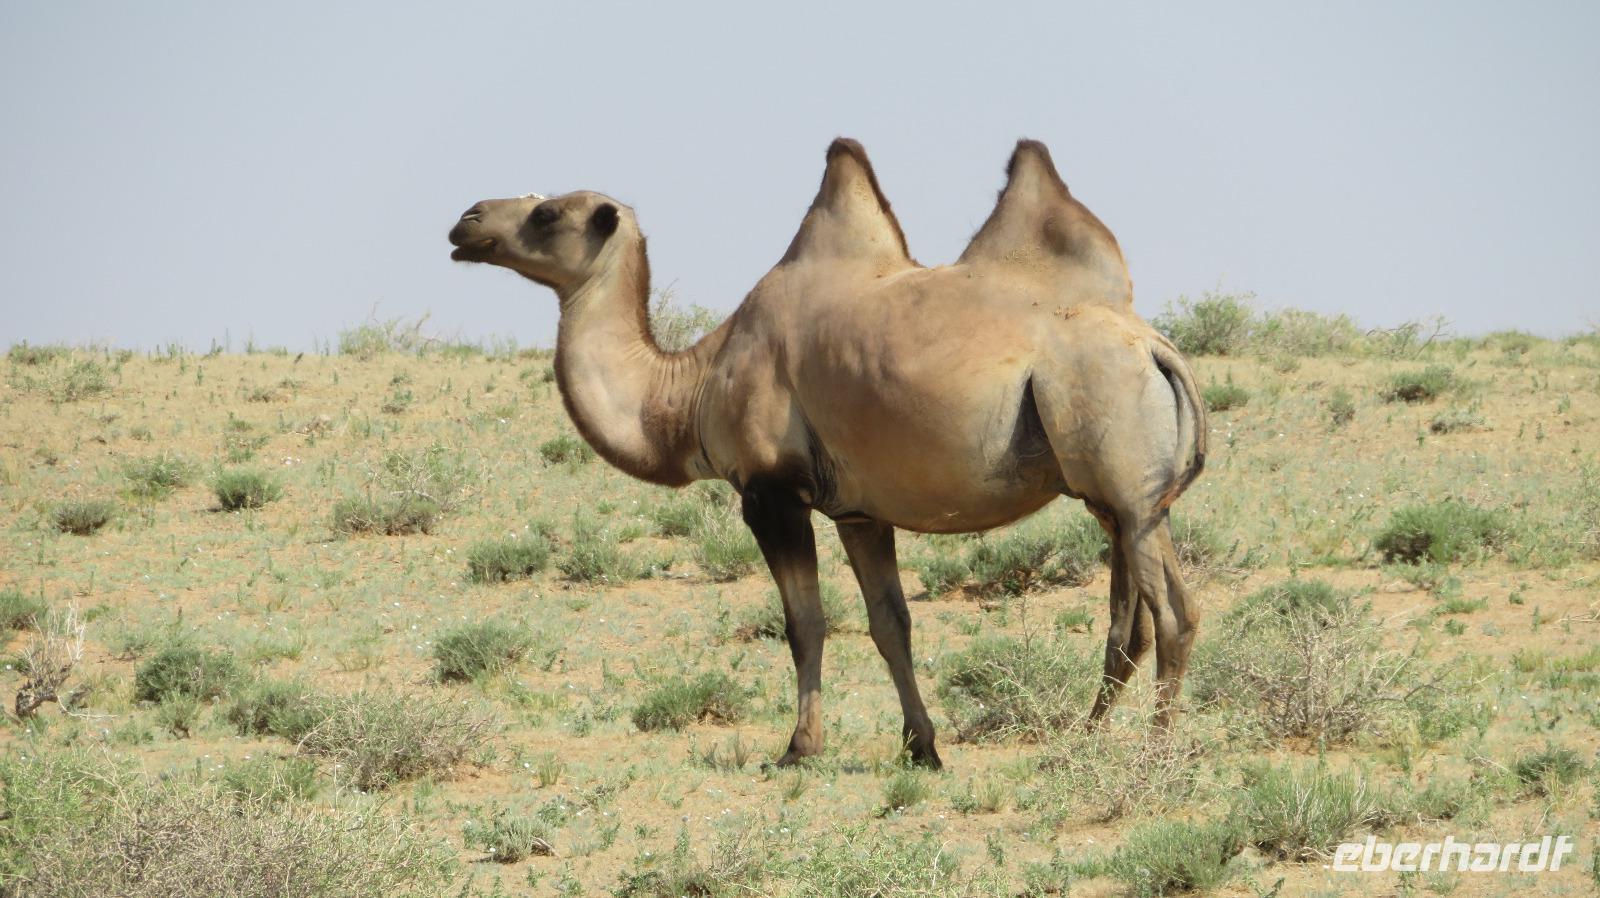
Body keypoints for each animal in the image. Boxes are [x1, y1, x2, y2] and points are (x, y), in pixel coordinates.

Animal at [447, 138, 1206, 768]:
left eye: (548, 213)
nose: (466, 221)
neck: (693, 386)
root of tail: (1155, 347)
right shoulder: (859, 511)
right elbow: (890, 623)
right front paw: (921, 748)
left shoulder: (770, 493)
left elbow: (805, 623)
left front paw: (798, 747)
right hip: (1123, 501)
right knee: (1132, 620)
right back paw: (1086, 740)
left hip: (1126, 480)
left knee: (1172, 613)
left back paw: (1154, 753)